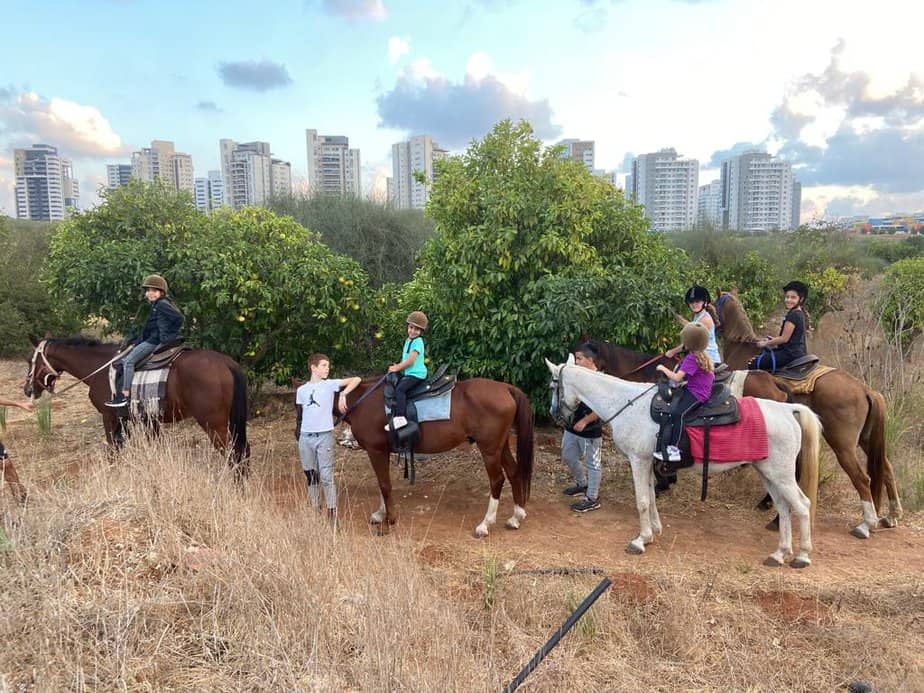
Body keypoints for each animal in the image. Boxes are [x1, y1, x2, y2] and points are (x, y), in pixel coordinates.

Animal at [25, 336, 249, 476]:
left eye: (30, 361)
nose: (27, 390)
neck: (100, 369)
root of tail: (227, 363)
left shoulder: (110, 417)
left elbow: (113, 451)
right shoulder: (141, 419)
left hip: (214, 424)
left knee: (233, 454)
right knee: (243, 451)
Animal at [342, 376, 536, 532]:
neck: (362, 402)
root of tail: (506, 388)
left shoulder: (375, 451)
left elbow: (383, 484)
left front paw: (389, 518)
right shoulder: (382, 451)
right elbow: (383, 483)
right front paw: (380, 513)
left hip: (489, 449)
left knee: (497, 480)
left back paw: (485, 524)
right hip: (500, 447)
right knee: (513, 472)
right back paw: (516, 517)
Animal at [544, 360, 820, 564]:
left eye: (552, 384)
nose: (555, 415)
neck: (626, 403)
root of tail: (787, 410)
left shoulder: (638, 460)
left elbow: (642, 501)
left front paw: (639, 540)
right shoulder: (648, 462)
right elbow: (651, 496)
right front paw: (652, 533)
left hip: (781, 475)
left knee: (802, 505)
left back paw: (803, 556)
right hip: (768, 473)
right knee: (783, 507)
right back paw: (780, 553)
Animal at [720, 292, 904, 536]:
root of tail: (866, 390)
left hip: (842, 444)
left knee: (862, 478)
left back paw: (866, 524)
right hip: (865, 439)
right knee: (886, 467)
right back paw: (892, 516)